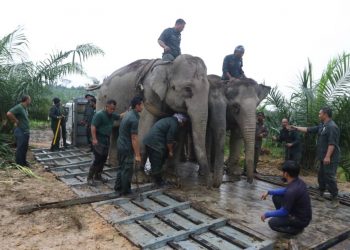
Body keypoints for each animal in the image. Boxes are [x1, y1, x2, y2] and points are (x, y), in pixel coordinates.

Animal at [94, 55, 212, 186]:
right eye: (187, 89)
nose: (208, 185)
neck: (168, 65)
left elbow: (179, 134)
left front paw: (171, 178)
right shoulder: (148, 95)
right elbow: (144, 127)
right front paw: (140, 180)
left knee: (116, 129)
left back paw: (115, 164)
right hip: (101, 100)